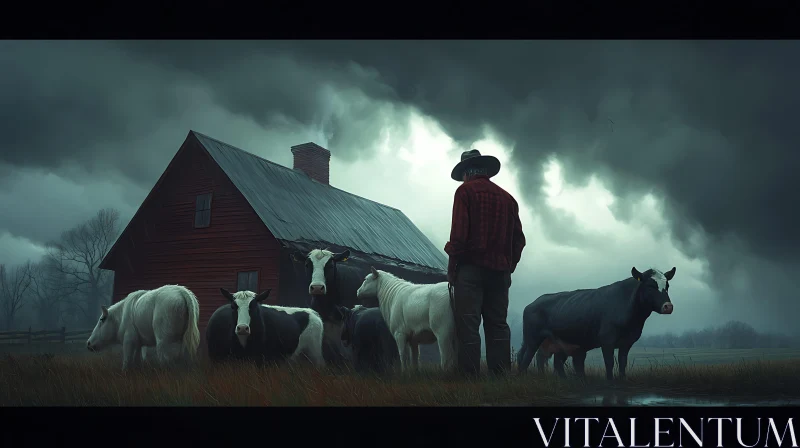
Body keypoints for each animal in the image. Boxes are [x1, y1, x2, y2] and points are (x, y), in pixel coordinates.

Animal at [516, 266, 680, 382]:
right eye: (651, 286)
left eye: (667, 286)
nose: (668, 306)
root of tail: (532, 303)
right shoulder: (607, 340)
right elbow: (609, 362)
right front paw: (610, 381)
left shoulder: (627, 342)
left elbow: (622, 362)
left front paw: (622, 380)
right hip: (532, 339)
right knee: (526, 357)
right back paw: (522, 377)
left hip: (558, 342)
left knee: (552, 361)